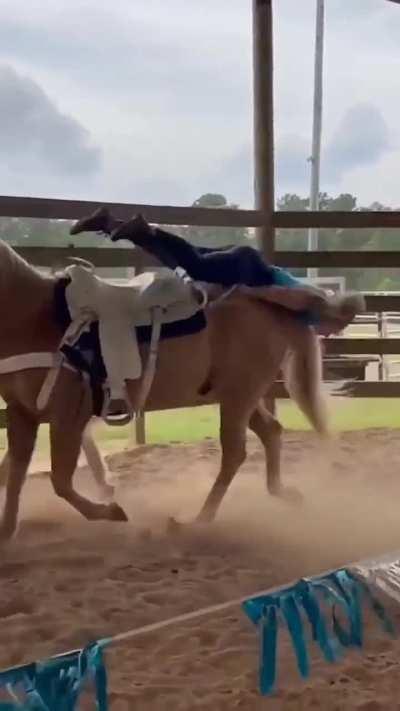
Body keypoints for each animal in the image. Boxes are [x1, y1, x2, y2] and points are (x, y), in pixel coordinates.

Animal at [0, 238, 329, 541]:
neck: (35, 319)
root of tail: (269, 305)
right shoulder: (21, 414)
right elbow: (14, 472)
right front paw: (6, 531)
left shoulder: (68, 418)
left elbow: (60, 481)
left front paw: (111, 511)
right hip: (238, 395)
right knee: (271, 431)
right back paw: (281, 492)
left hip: (240, 395)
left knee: (235, 453)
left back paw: (198, 520)